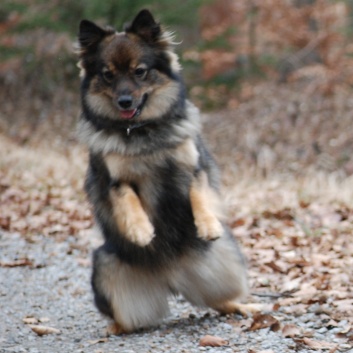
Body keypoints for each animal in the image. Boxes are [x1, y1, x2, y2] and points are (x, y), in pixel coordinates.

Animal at [76, 8, 248, 332]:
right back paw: (114, 329)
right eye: (108, 74)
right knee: (124, 319)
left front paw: (207, 225)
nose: (124, 102)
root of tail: (171, 277)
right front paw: (141, 231)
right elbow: (129, 201)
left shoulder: (194, 166)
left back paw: (249, 307)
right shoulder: (115, 181)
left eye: (139, 71)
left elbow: (199, 194)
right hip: (105, 268)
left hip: (228, 262)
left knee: (222, 301)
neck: (143, 132)